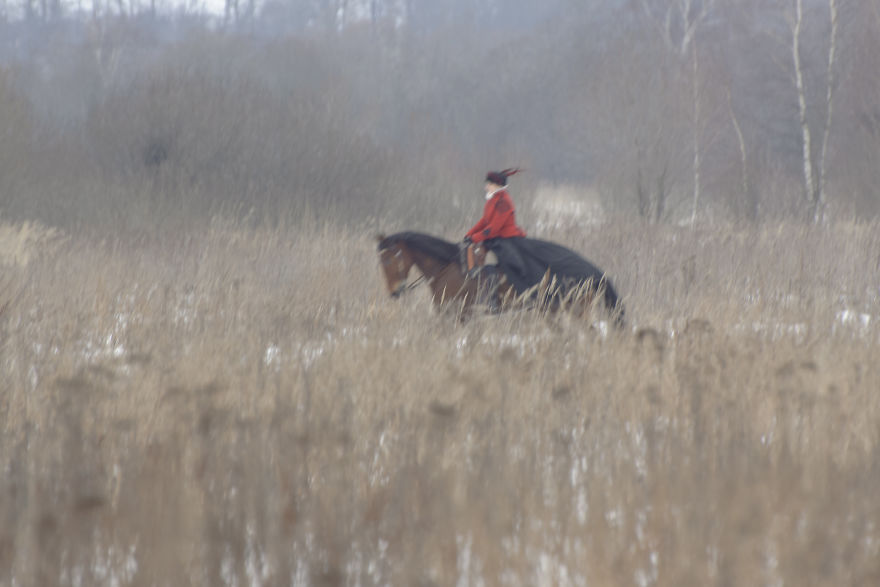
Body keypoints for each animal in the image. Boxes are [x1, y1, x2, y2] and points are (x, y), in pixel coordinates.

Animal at [376, 231, 625, 324]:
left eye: (387, 260)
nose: (394, 291)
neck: (446, 268)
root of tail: (595, 274)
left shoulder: (457, 315)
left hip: (575, 312)